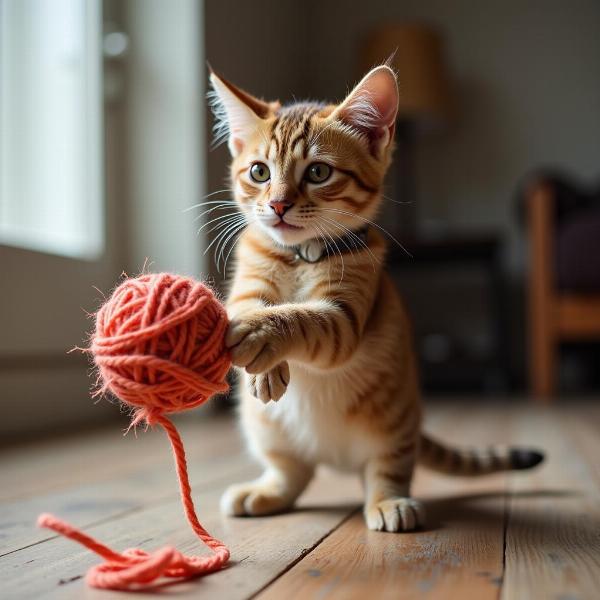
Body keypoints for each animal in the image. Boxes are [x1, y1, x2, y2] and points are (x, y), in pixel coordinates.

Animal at [207, 65, 544, 532]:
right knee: (292, 472)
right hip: (265, 429)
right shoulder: (248, 285)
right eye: (259, 172)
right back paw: (266, 491)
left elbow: (300, 317)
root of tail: (333, 457)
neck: (301, 256)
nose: (277, 205)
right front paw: (264, 362)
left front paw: (263, 335)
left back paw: (391, 503)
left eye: (318, 173)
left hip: (393, 426)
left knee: (384, 471)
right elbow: (245, 308)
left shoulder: (343, 317)